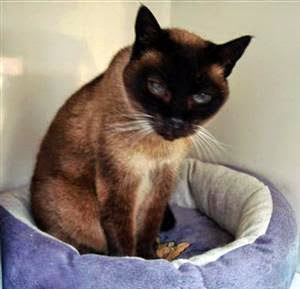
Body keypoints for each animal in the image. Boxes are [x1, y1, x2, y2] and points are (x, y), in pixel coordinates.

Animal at [31, 5, 251, 258]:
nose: (175, 121)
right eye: (157, 87)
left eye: (201, 97)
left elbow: (148, 226)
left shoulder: (163, 178)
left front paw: (150, 258)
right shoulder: (121, 181)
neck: (157, 148)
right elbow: (123, 237)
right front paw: (134, 262)